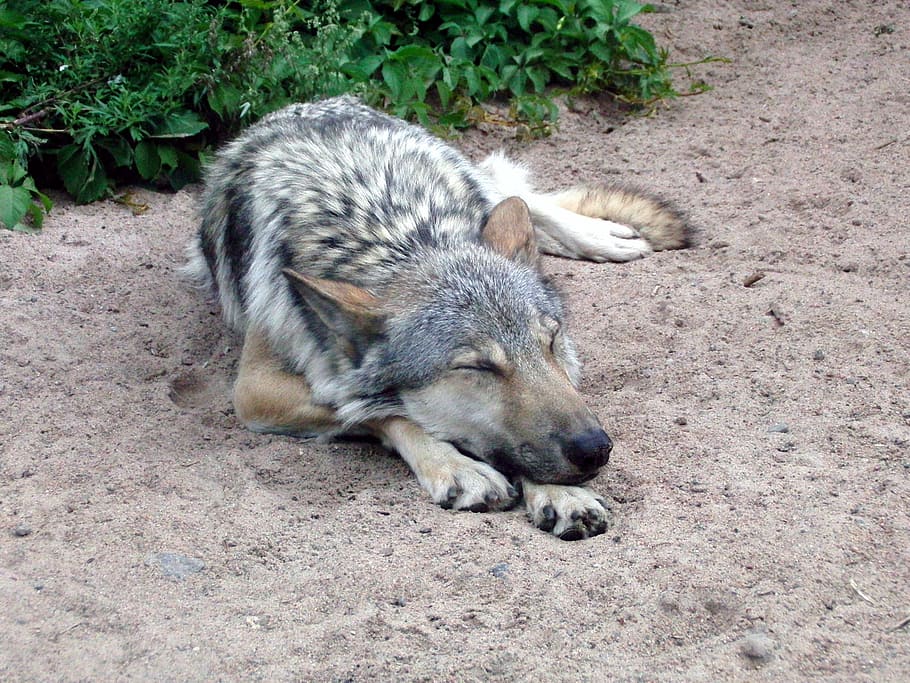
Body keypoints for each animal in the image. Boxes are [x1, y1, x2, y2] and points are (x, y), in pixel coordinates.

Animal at [185, 96, 686, 540]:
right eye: (477, 367)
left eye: (550, 342)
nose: (595, 450)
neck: (404, 236)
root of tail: (303, 105)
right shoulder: (255, 390)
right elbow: (383, 410)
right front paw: (458, 467)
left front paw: (560, 494)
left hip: (471, 173)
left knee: (517, 195)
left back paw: (606, 235)